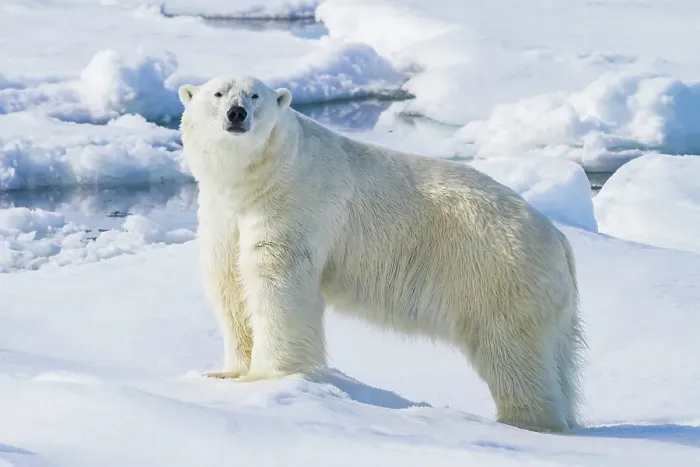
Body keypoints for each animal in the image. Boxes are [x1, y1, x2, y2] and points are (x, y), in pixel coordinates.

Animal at [178, 75, 586, 433]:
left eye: (255, 95)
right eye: (218, 93)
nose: (236, 114)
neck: (258, 180)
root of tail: (560, 241)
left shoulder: (294, 204)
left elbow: (275, 283)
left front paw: (267, 377)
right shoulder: (223, 216)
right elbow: (230, 282)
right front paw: (227, 372)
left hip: (499, 274)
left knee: (513, 352)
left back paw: (525, 422)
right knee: (557, 360)